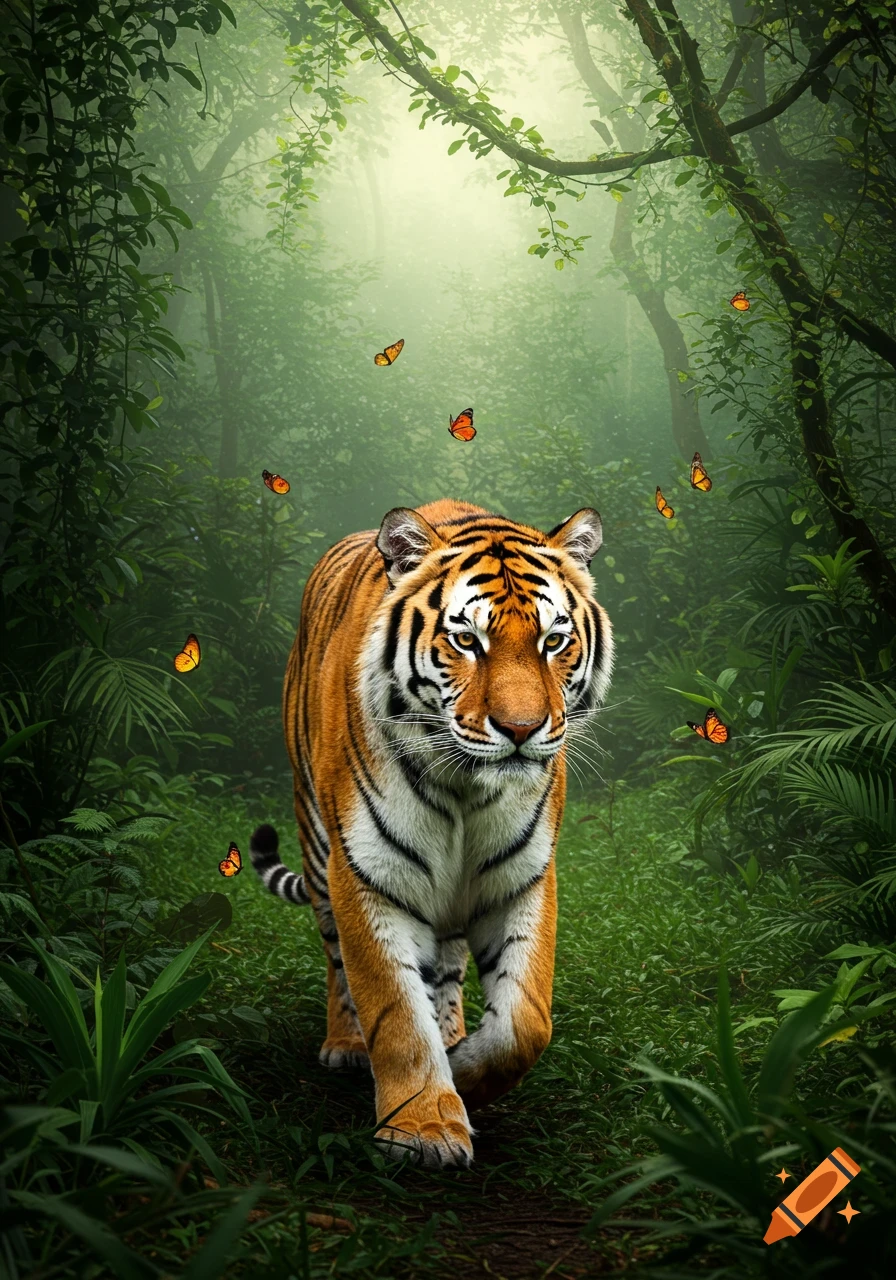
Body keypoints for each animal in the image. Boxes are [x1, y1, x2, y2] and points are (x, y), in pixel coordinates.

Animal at [249, 499, 613, 1168]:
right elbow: (395, 1012)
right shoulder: (368, 876)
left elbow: (526, 1022)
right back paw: (346, 1044)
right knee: (338, 960)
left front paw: (463, 1070)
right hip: (315, 840)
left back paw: (451, 1031)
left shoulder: (523, 877)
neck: (466, 788)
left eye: (554, 641)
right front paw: (422, 1129)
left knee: (445, 967)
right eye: (466, 640)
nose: (521, 730)